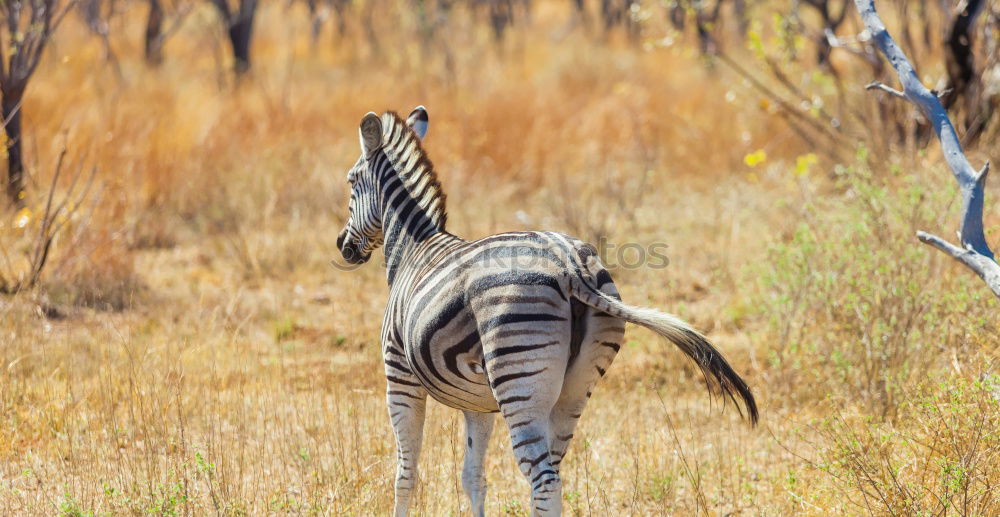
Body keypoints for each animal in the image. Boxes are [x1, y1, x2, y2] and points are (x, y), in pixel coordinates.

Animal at [336, 107, 756, 512]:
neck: (414, 247)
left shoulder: (399, 375)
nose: (343, 246)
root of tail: (568, 267)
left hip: (519, 382)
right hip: (575, 385)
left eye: (351, 182)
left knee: (544, 481)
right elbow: (473, 478)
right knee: (552, 473)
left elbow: (406, 475)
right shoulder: (477, 403)